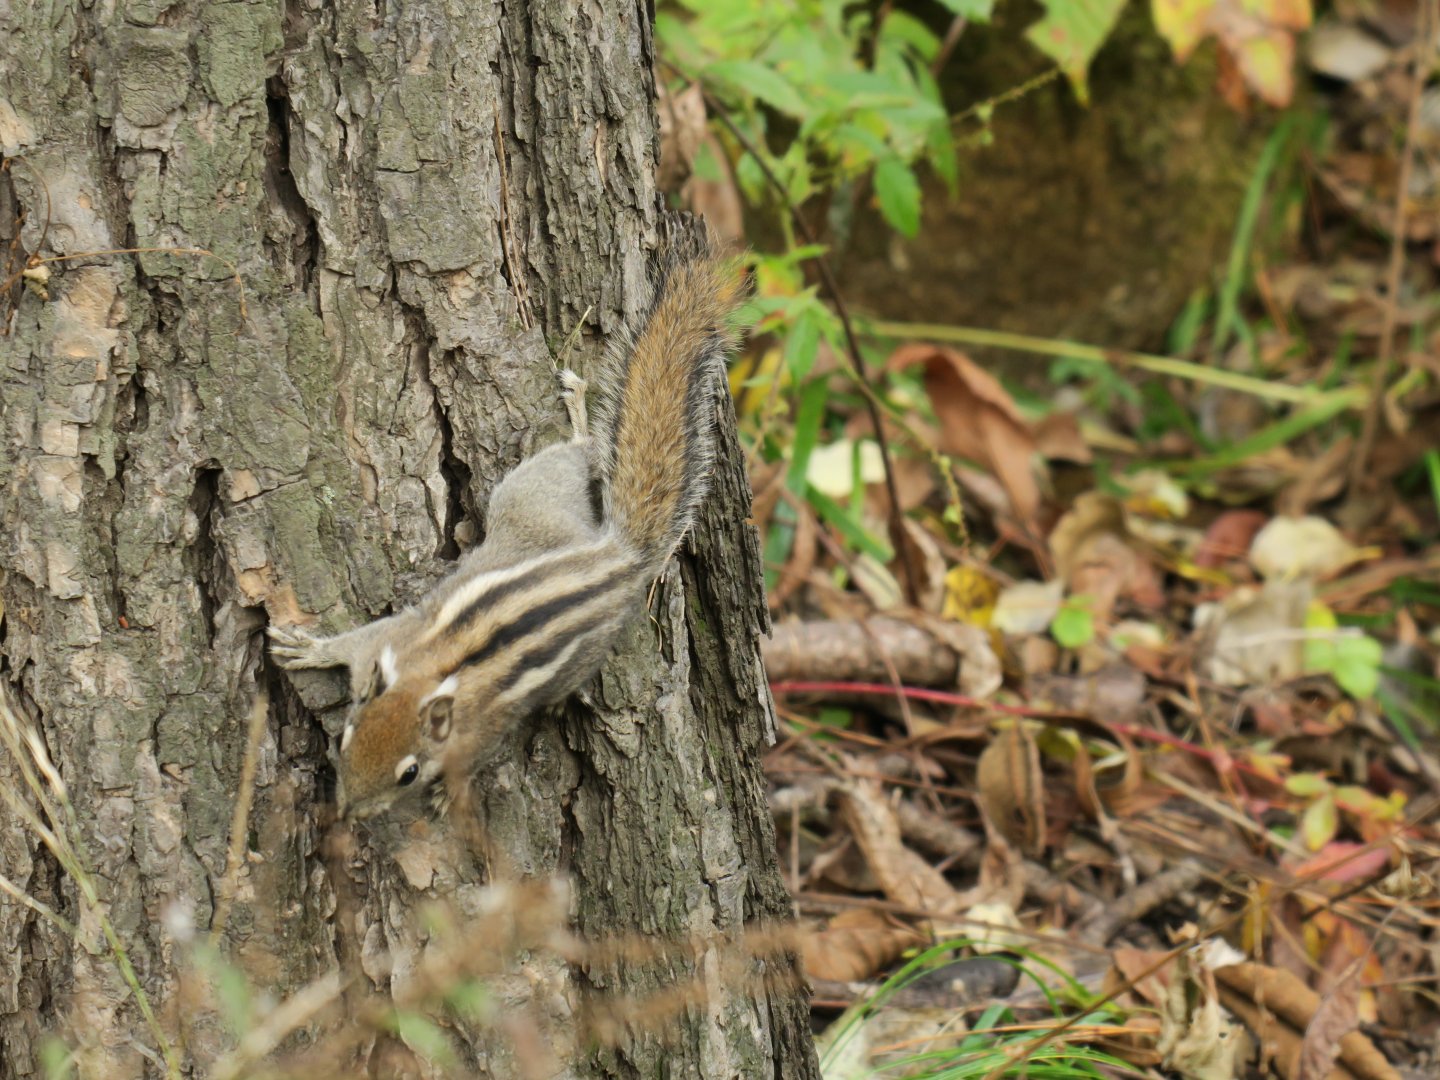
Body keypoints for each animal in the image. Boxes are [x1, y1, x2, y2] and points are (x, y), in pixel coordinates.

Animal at [269, 247, 744, 822]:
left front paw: (449, 794)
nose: (351, 812)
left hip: (541, 534)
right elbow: (354, 644)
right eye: (346, 736)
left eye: (409, 773)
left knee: (584, 452)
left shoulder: (484, 724)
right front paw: (310, 650)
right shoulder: (386, 643)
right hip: (541, 507)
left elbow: (478, 754)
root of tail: (617, 559)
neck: (428, 679)